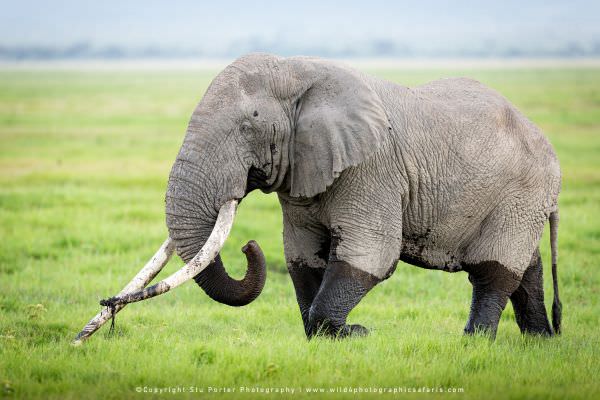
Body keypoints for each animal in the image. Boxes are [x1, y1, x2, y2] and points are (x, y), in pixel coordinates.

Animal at [84, 52, 564, 340]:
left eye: (248, 125)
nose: (248, 246)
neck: (296, 70)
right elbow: (302, 257)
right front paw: (329, 337)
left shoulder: (372, 167)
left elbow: (371, 253)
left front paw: (355, 334)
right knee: (528, 268)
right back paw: (539, 341)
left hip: (522, 193)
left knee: (494, 271)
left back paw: (473, 343)